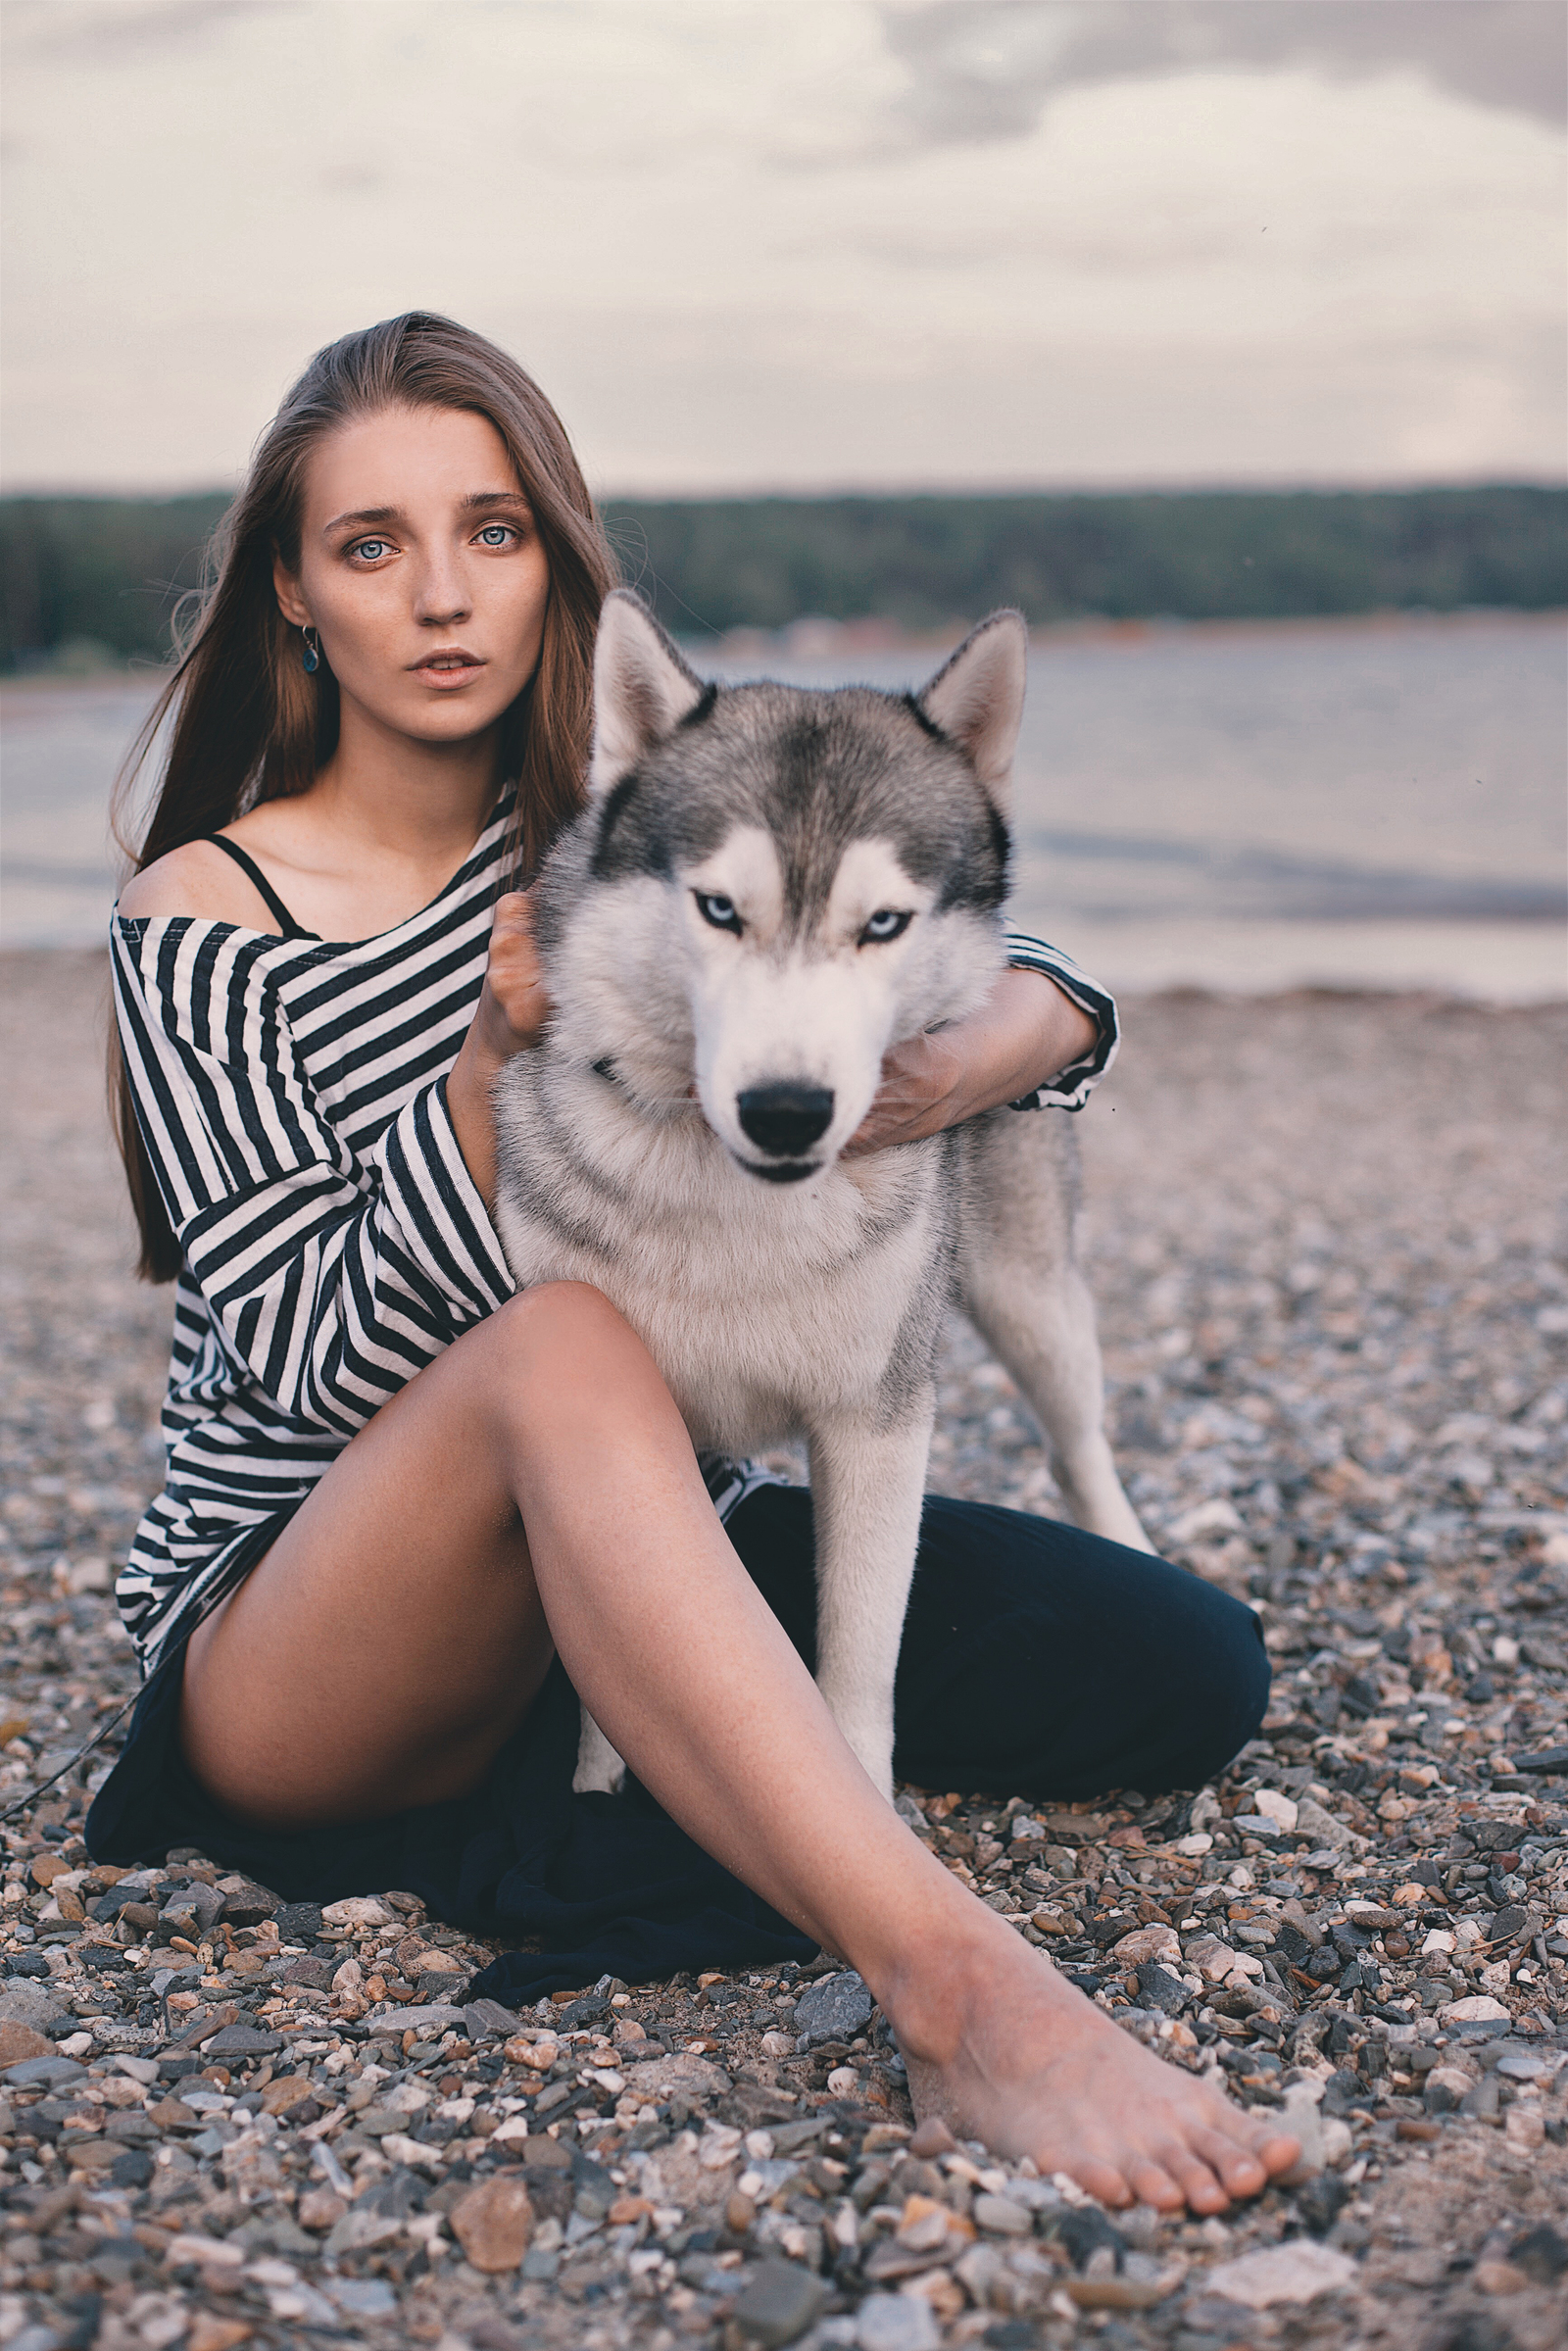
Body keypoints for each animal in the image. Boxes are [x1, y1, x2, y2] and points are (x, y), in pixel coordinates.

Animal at [493, 592, 1152, 1795]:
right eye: (718, 908)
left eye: (882, 923)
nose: (787, 1109)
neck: (731, 1202)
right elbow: (613, 1682)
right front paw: (599, 1795)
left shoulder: (875, 1421)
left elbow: (857, 1655)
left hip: (1026, 1297)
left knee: (1076, 1438)